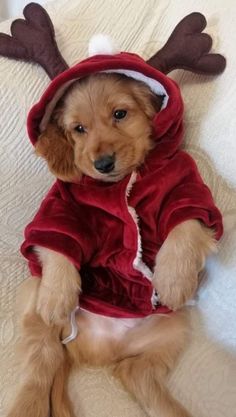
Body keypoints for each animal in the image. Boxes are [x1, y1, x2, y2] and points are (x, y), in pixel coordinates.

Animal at [6, 73, 218, 416]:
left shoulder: (186, 188)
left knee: (134, 372)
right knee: (41, 368)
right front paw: (58, 296)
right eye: (79, 128)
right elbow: (56, 242)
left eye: (120, 114)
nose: (103, 163)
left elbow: (184, 223)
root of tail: (98, 351)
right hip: (33, 300)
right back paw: (27, 405)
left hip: (173, 329)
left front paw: (174, 280)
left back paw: (172, 410)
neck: (119, 184)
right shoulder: (58, 208)